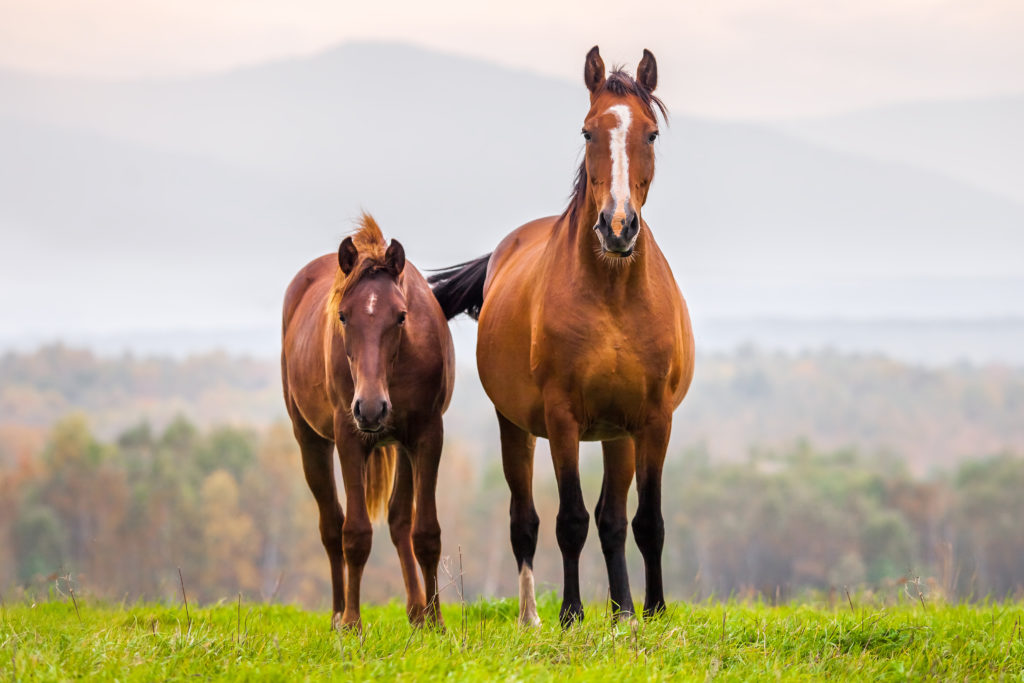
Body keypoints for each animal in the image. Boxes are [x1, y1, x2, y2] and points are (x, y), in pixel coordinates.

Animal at [281, 214, 454, 630]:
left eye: (401, 316)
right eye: (343, 316)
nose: (371, 409)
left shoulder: (428, 436)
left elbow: (426, 532)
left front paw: (436, 623)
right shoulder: (349, 438)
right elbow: (355, 533)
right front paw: (352, 624)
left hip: (403, 446)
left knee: (399, 521)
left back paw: (417, 612)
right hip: (310, 441)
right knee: (331, 526)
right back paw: (337, 613)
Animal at [429, 47, 694, 627]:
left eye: (650, 134)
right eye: (588, 130)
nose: (617, 227)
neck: (613, 296)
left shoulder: (653, 420)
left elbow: (646, 521)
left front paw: (651, 612)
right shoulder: (562, 417)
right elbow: (569, 519)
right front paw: (571, 614)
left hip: (618, 435)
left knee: (613, 518)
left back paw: (622, 612)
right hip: (516, 428)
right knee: (524, 520)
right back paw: (532, 617)